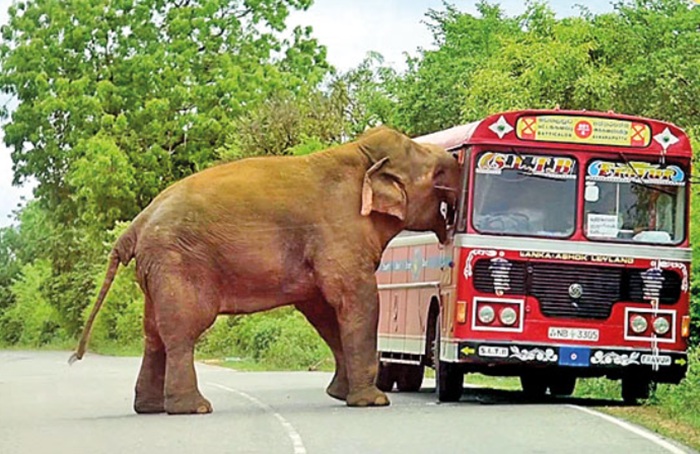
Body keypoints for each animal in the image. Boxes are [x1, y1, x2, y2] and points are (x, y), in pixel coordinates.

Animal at [69, 126, 460, 414]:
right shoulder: (338, 233)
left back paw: (151, 408)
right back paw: (194, 408)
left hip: (156, 268)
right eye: (437, 175)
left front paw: (339, 395)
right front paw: (373, 402)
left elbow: (322, 309)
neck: (358, 153)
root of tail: (137, 223)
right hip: (178, 263)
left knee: (153, 335)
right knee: (182, 329)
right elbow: (356, 299)